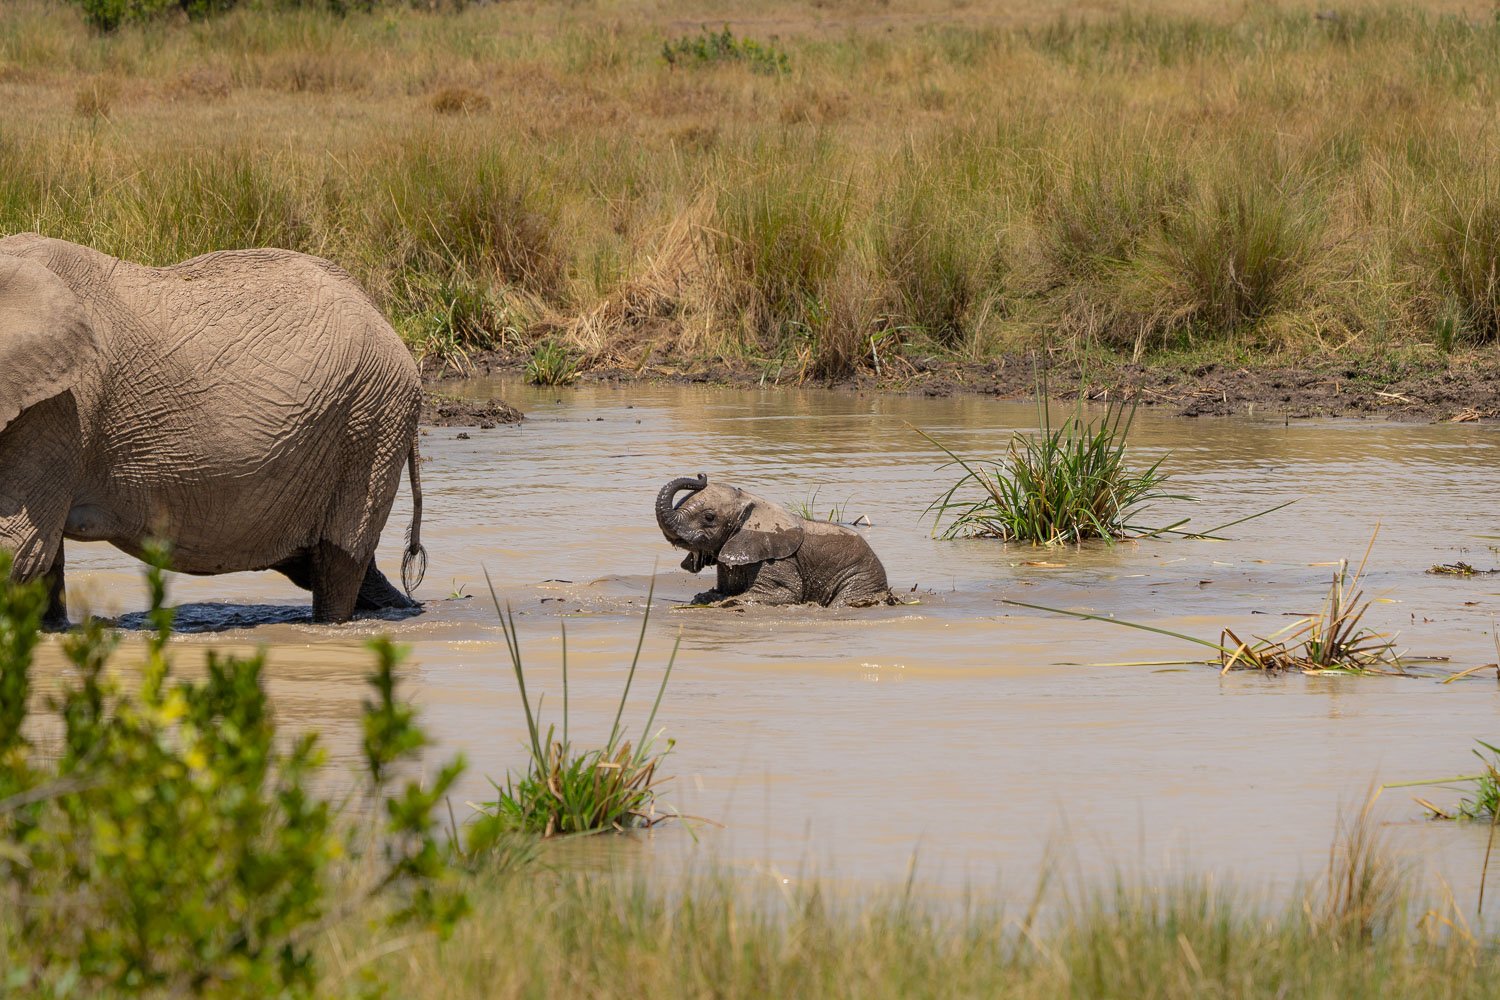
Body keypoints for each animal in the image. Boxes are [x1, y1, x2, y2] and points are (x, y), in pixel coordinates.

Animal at [0, 233, 427, 626]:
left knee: (337, 564)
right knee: (320, 563)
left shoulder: (63, 406)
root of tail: (377, 311)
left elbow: (17, 545)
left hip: (370, 419)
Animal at [654, 474, 896, 607]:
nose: (701, 475)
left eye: (709, 517)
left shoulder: (779, 560)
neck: (751, 501)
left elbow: (785, 593)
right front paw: (705, 598)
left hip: (860, 578)